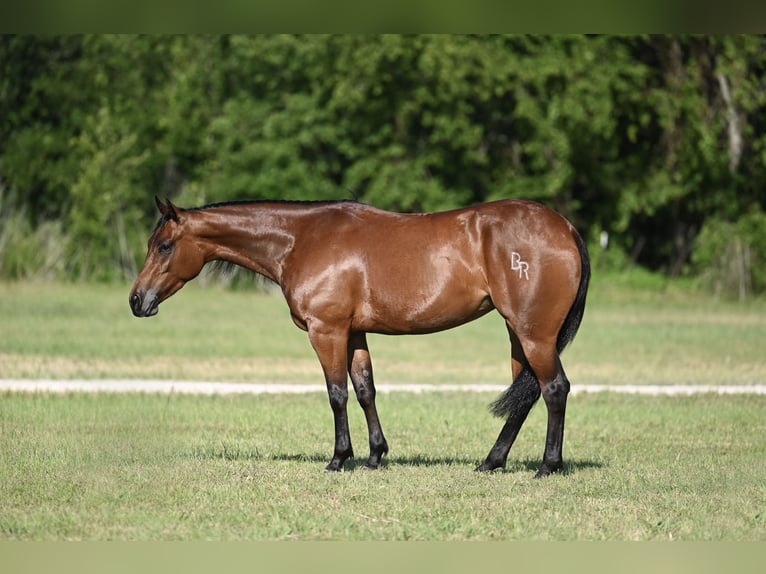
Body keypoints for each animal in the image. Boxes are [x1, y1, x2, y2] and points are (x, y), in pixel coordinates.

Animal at [130, 197, 590, 478]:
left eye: (165, 246)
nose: (137, 300)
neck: (301, 239)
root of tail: (565, 226)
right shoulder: (354, 334)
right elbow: (366, 390)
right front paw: (374, 456)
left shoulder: (327, 330)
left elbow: (337, 393)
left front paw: (339, 458)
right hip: (518, 334)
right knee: (525, 395)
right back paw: (491, 462)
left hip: (533, 334)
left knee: (554, 388)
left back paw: (548, 465)